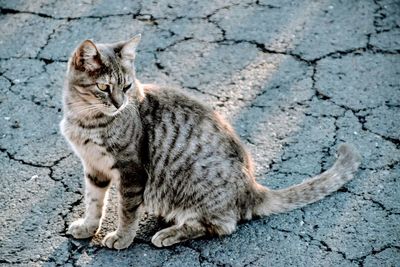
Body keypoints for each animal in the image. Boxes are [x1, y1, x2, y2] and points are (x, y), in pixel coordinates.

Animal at [60, 34, 362, 250]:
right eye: (104, 87)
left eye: (127, 86)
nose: (120, 104)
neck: (86, 120)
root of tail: (252, 188)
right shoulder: (93, 167)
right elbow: (94, 201)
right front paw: (88, 226)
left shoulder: (131, 169)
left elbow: (127, 210)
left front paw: (122, 237)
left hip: (195, 183)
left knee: (220, 225)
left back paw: (169, 233)